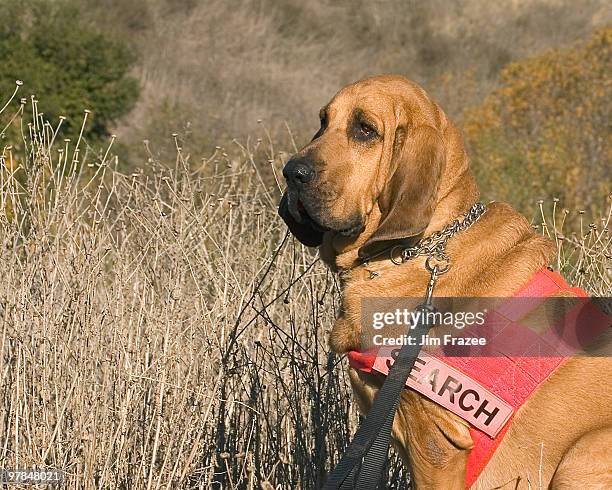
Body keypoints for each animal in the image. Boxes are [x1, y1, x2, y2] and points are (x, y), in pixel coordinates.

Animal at [278, 74, 612, 488]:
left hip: (581, 455)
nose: (292, 172)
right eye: (324, 121)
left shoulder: (436, 444)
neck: (418, 250)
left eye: (365, 129)